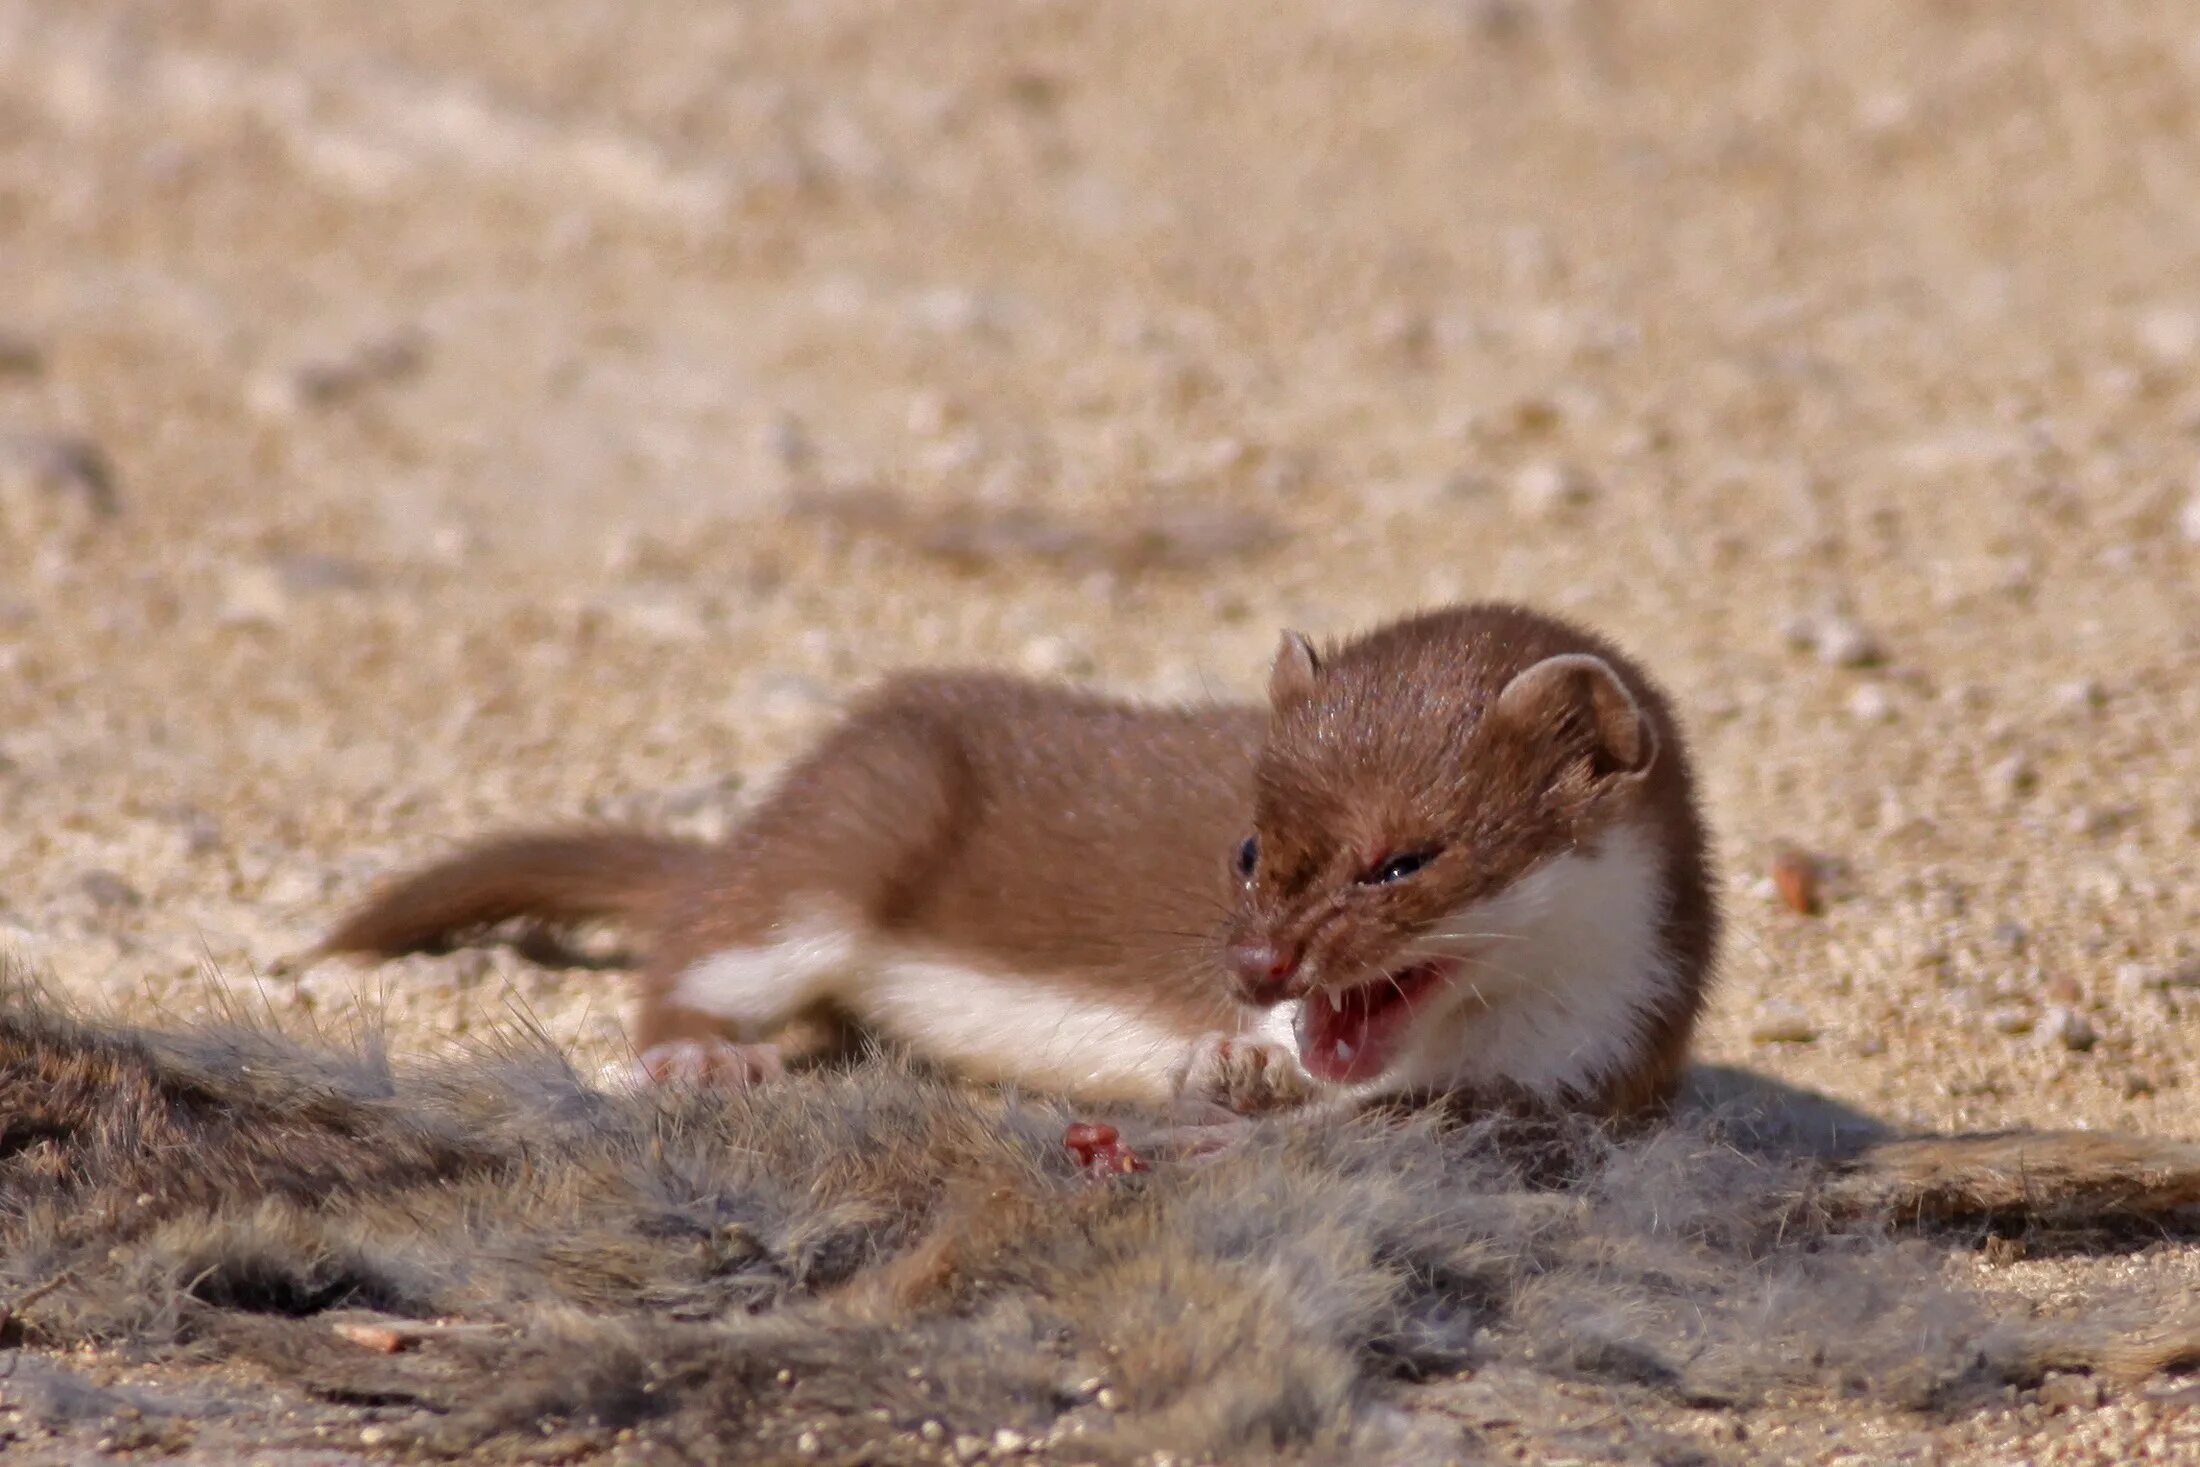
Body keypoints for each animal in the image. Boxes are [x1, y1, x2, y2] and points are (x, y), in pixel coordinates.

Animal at [319, 602, 1707, 1117]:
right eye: (1249, 843)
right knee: (696, 949)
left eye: (1402, 860)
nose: (1258, 967)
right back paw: (706, 1056)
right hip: (857, 819)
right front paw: (1226, 1058)